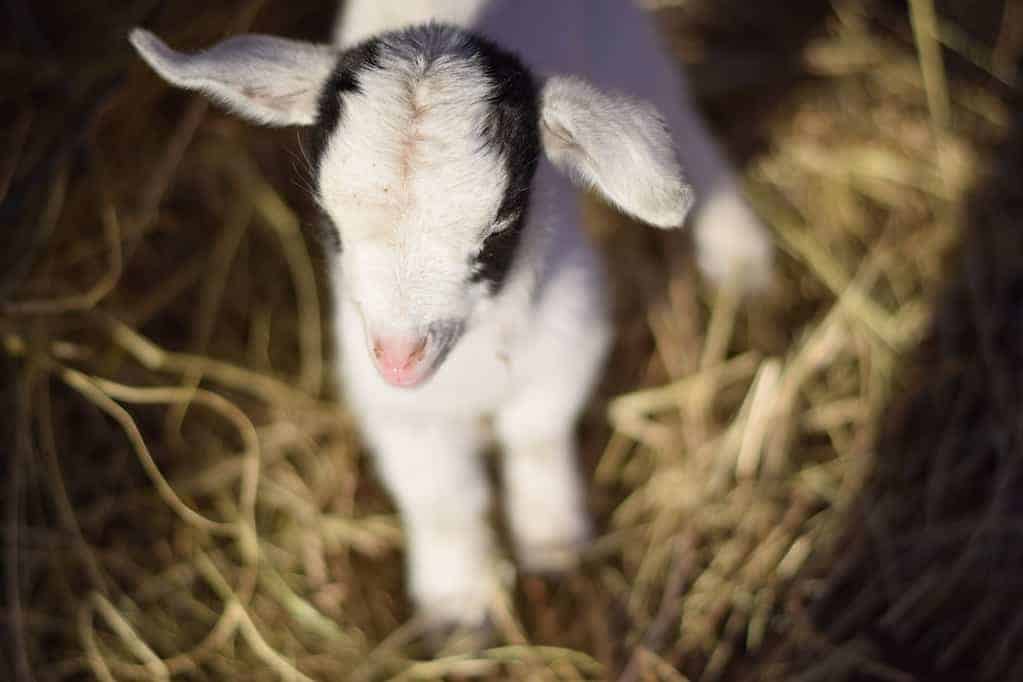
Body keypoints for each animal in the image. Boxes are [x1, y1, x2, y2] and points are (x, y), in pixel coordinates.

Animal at [131, 0, 769, 629]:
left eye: (499, 228)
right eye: (329, 219)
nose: (399, 356)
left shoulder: (569, 338)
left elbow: (535, 436)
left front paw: (552, 542)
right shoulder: (389, 402)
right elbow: (441, 496)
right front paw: (457, 600)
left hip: (622, 37)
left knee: (674, 109)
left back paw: (738, 254)